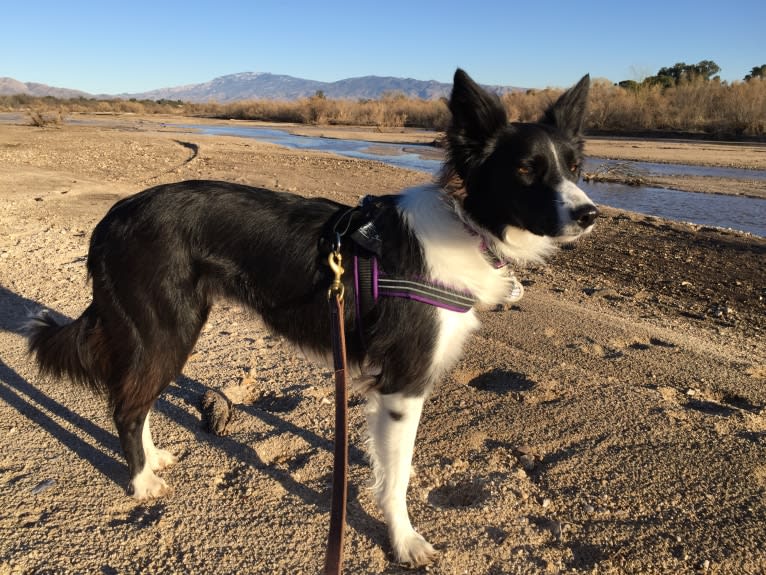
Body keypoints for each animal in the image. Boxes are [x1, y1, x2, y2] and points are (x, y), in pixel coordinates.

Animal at [25, 68, 600, 568]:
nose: (590, 214)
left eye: (574, 167)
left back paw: (152, 459)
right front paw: (404, 540)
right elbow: (398, 477)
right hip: (167, 328)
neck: (466, 224)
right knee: (127, 405)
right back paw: (142, 482)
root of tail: (112, 217)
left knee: (137, 399)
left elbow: (387, 462)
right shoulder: (404, 380)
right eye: (525, 169)